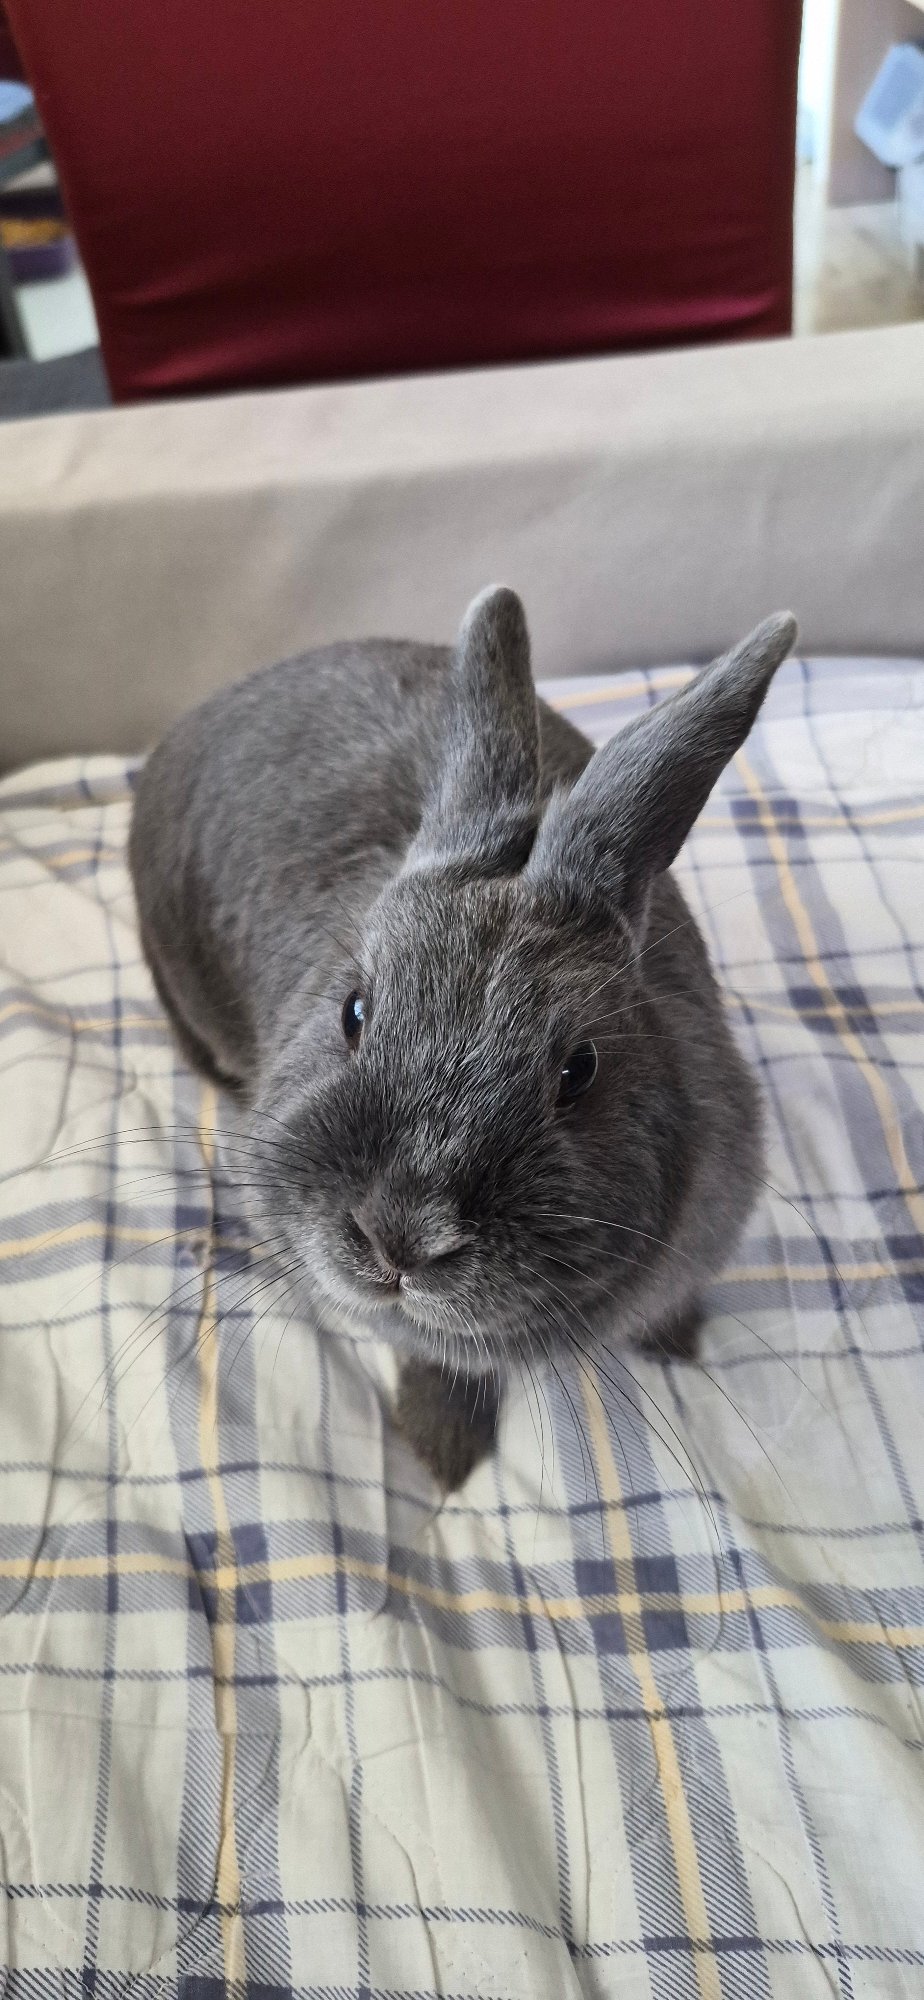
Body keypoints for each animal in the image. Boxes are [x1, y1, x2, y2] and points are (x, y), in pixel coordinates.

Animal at [130, 586, 796, 1490]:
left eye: (580, 1069)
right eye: (354, 1011)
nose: (399, 1236)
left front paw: (677, 1340)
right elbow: (441, 1367)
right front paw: (442, 1452)